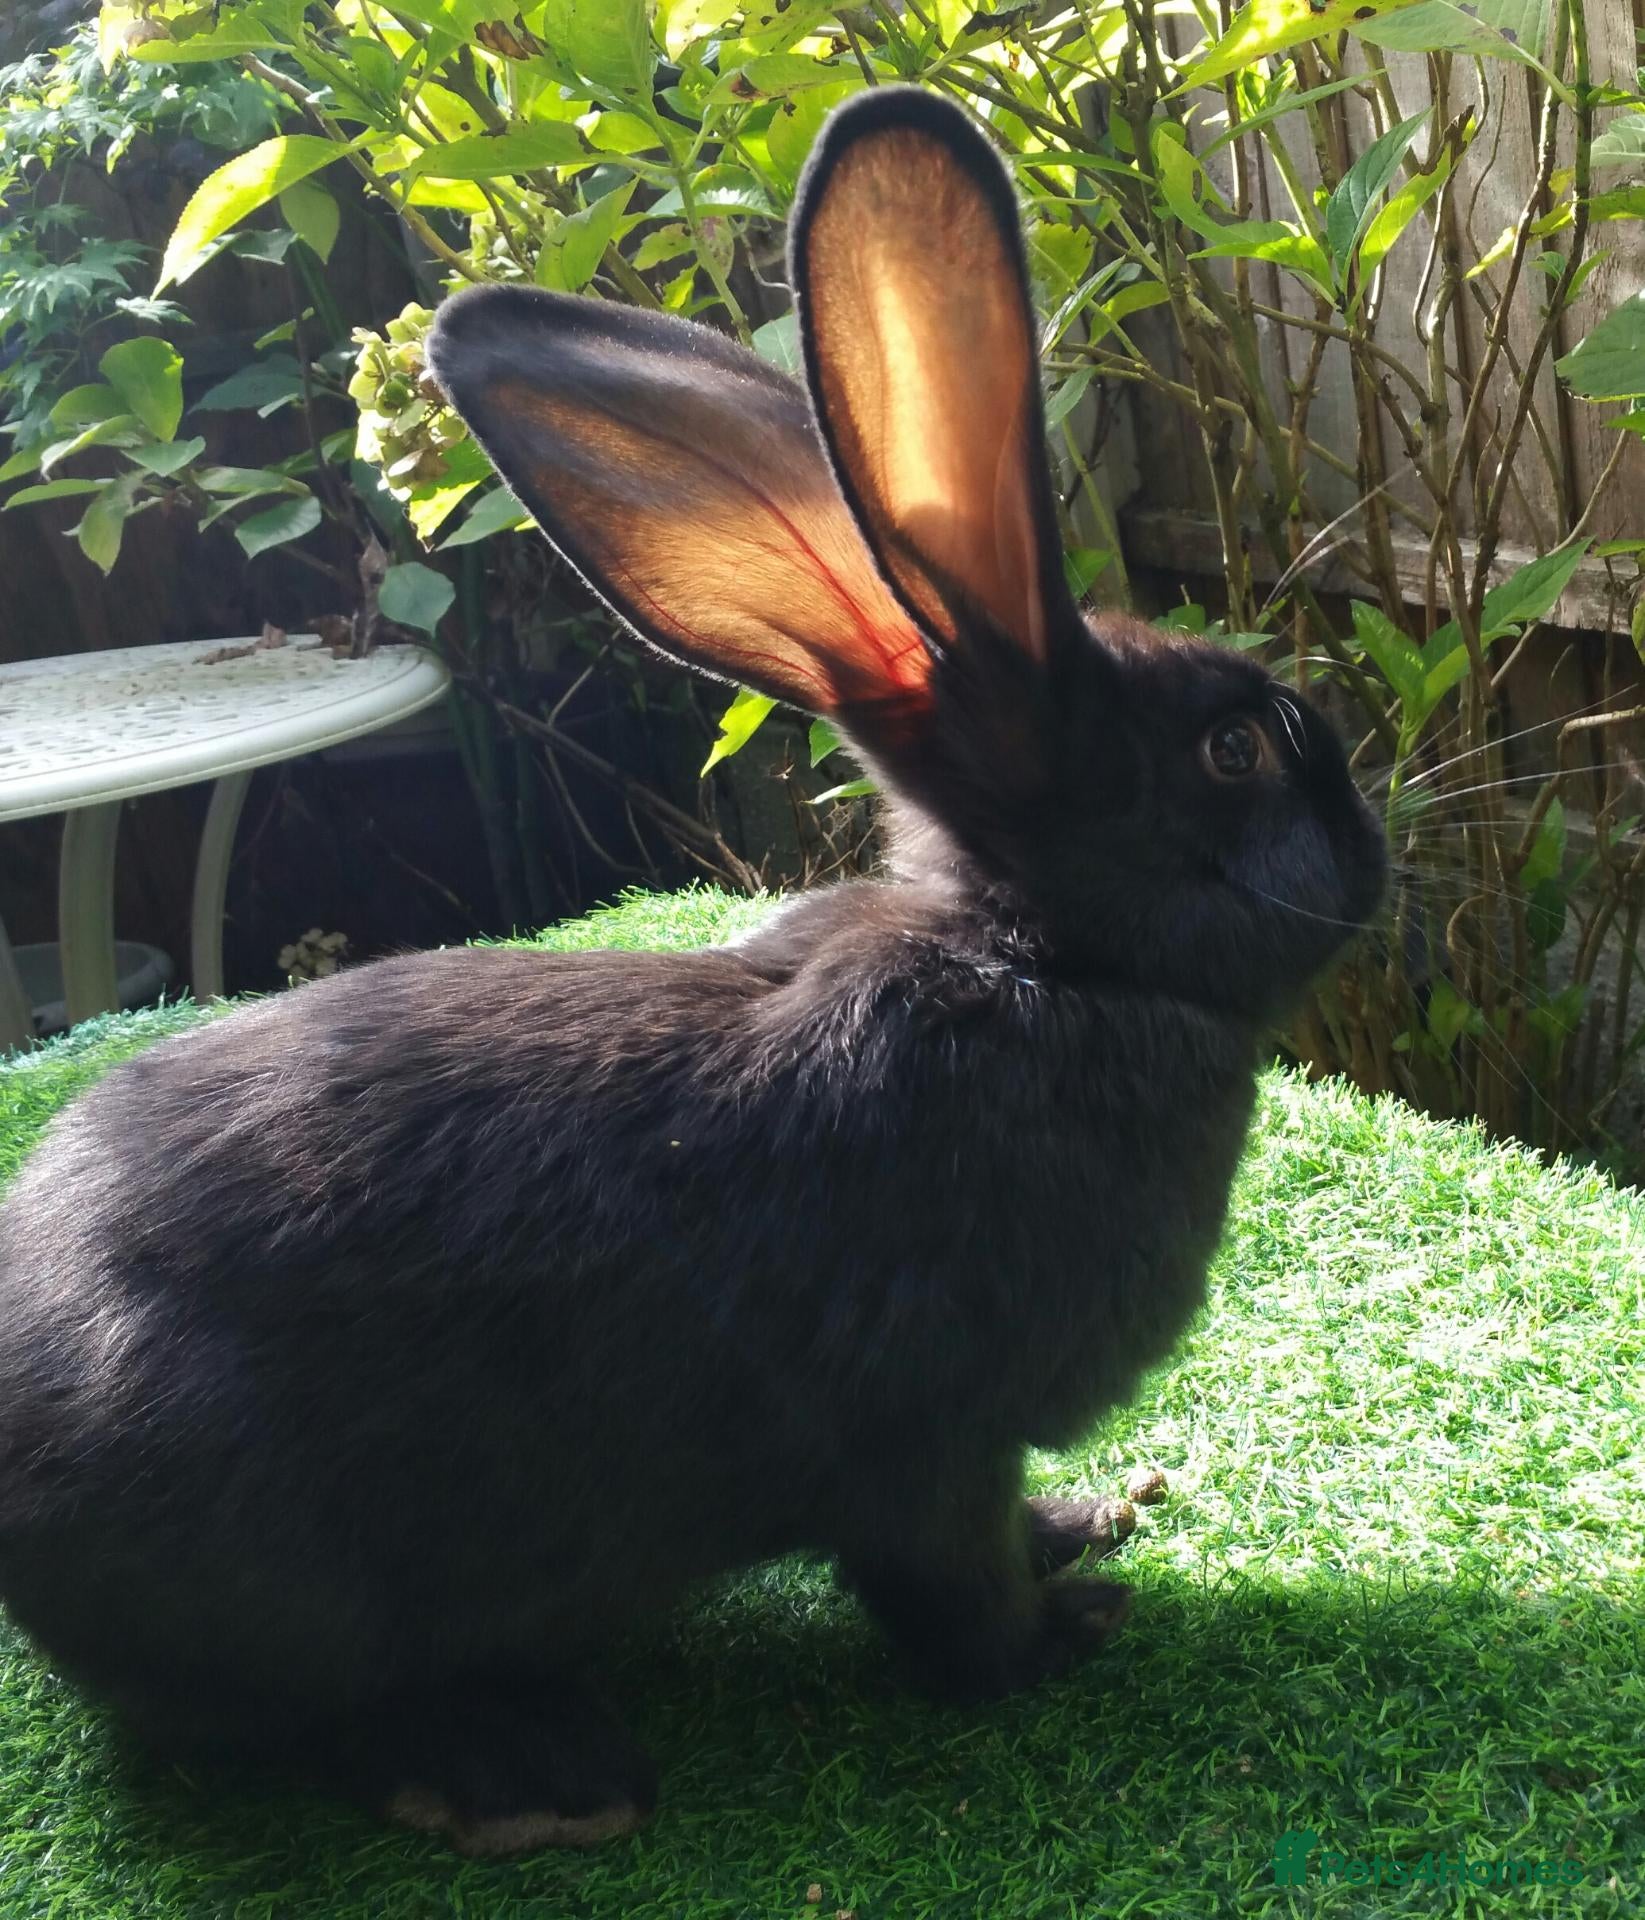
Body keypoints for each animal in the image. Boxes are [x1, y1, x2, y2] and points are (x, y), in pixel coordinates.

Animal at [0, 87, 1385, 1857]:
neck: (1043, 961)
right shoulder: (926, 1446)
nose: (1374, 852)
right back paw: (532, 1775)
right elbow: (949, 1604)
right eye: (1234, 751)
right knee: (298, 1722)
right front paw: (1061, 1632)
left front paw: (1082, 1527)